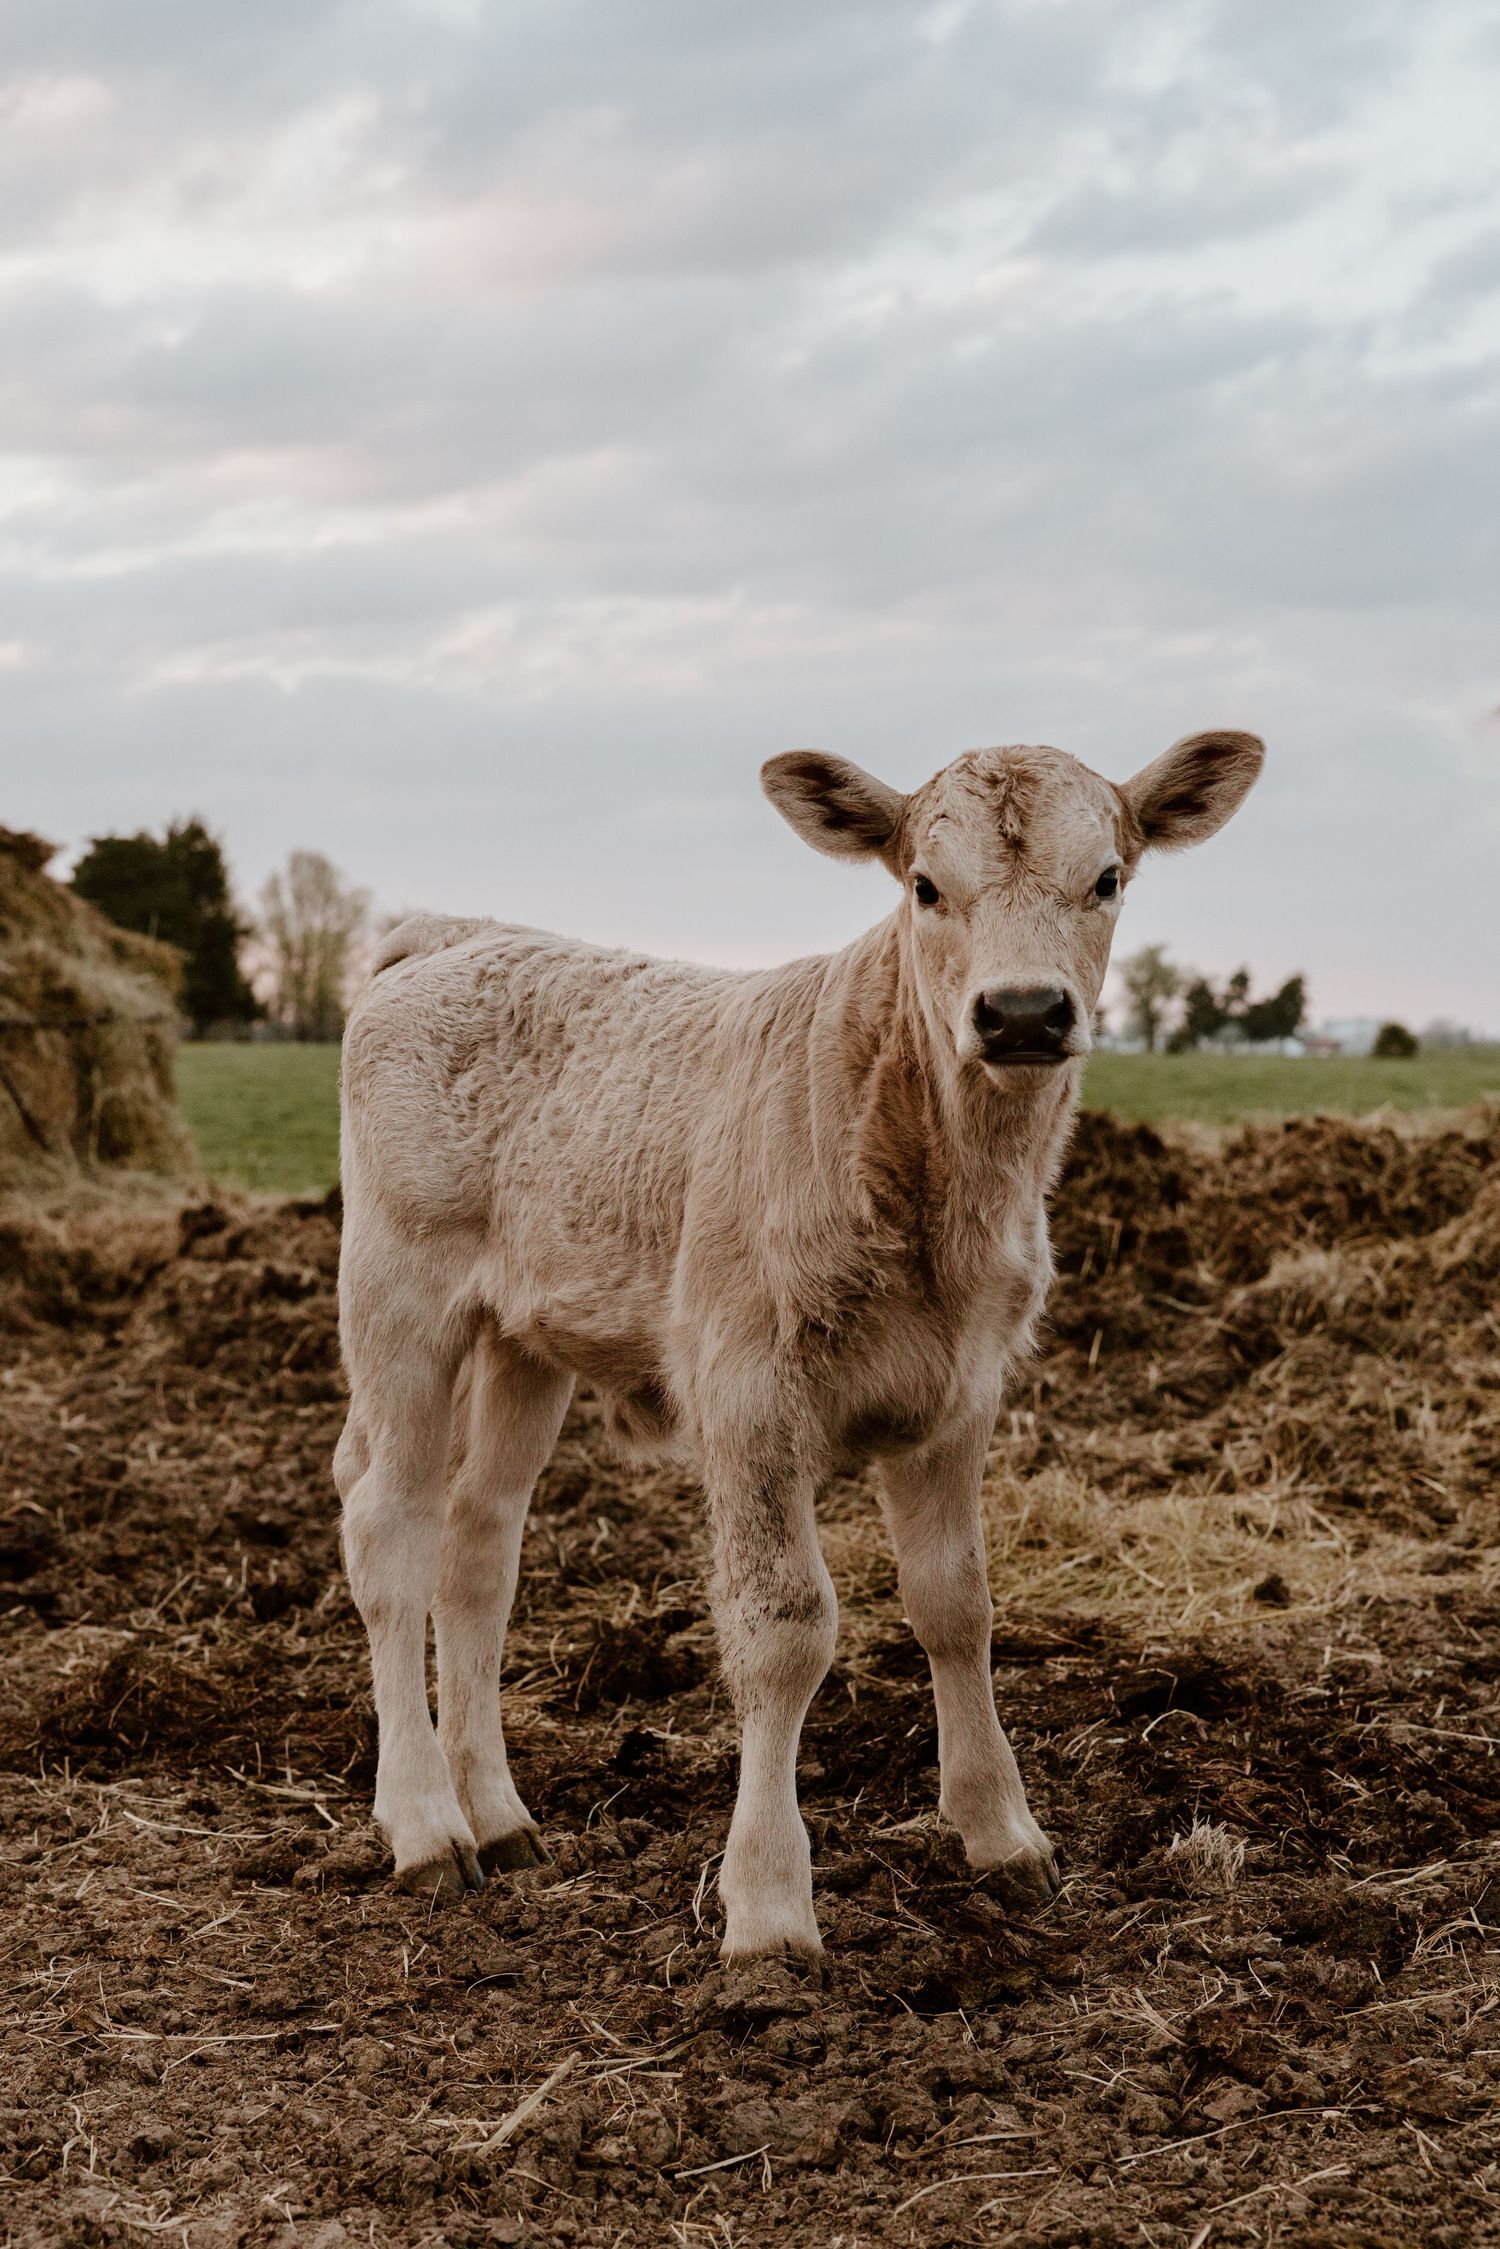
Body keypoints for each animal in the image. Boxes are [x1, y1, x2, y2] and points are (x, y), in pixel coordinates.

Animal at [334, 730, 1263, 1957]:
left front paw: (1000, 1830)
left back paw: (499, 1815)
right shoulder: (745, 1388)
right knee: (389, 1527)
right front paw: (770, 1905)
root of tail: (455, 933)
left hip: (525, 1336)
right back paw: (427, 1825)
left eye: (1107, 878)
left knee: (479, 1544)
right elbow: (784, 1627)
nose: (1021, 1012)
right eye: (925, 886)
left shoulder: (964, 1389)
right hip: (400, 1295)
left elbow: (958, 1603)